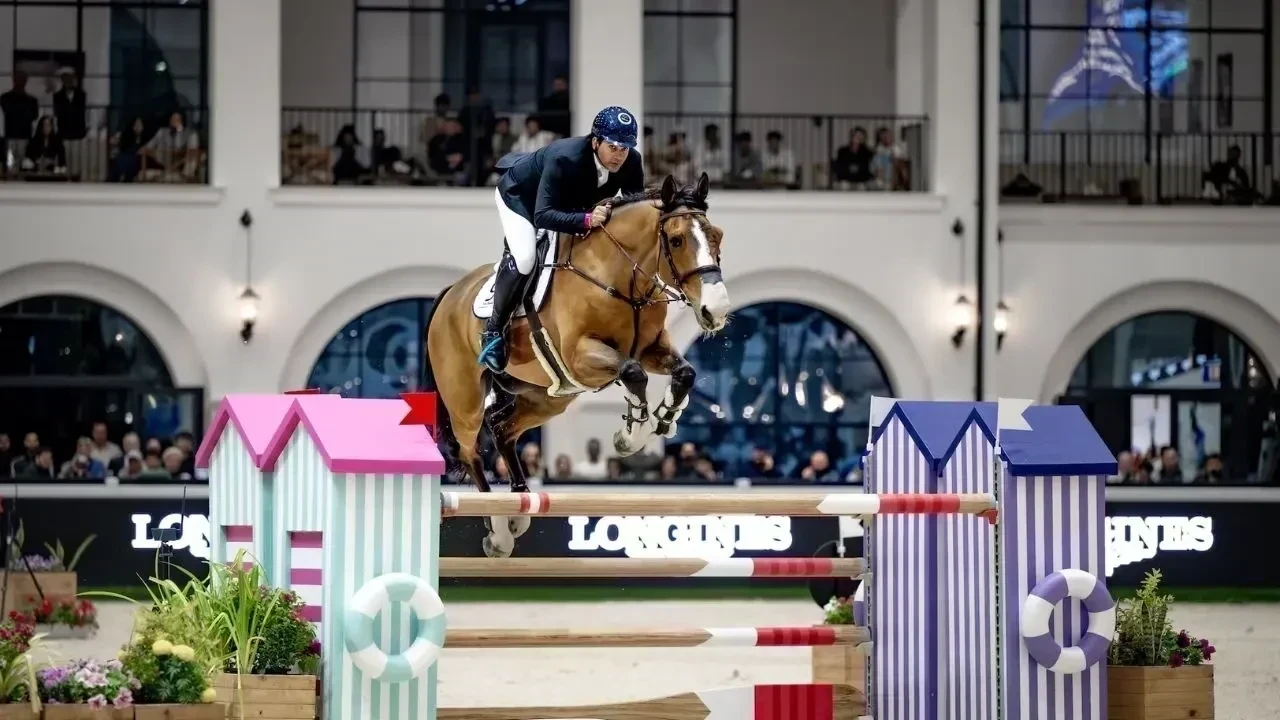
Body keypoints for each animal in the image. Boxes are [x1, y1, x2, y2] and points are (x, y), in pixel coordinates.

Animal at [424, 173, 730, 557]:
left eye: (717, 236)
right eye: (676, 240)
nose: (716, 310)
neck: (620, 276)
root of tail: (450, 293)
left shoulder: (651, 348)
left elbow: (683, 373)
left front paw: (662, 419)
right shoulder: (580, 356)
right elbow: (632, 373)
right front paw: (631, 437)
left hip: (548, 397)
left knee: (502, 428)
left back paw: (519, 508)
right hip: (465, 400)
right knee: (471, 450)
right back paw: (499, 533)